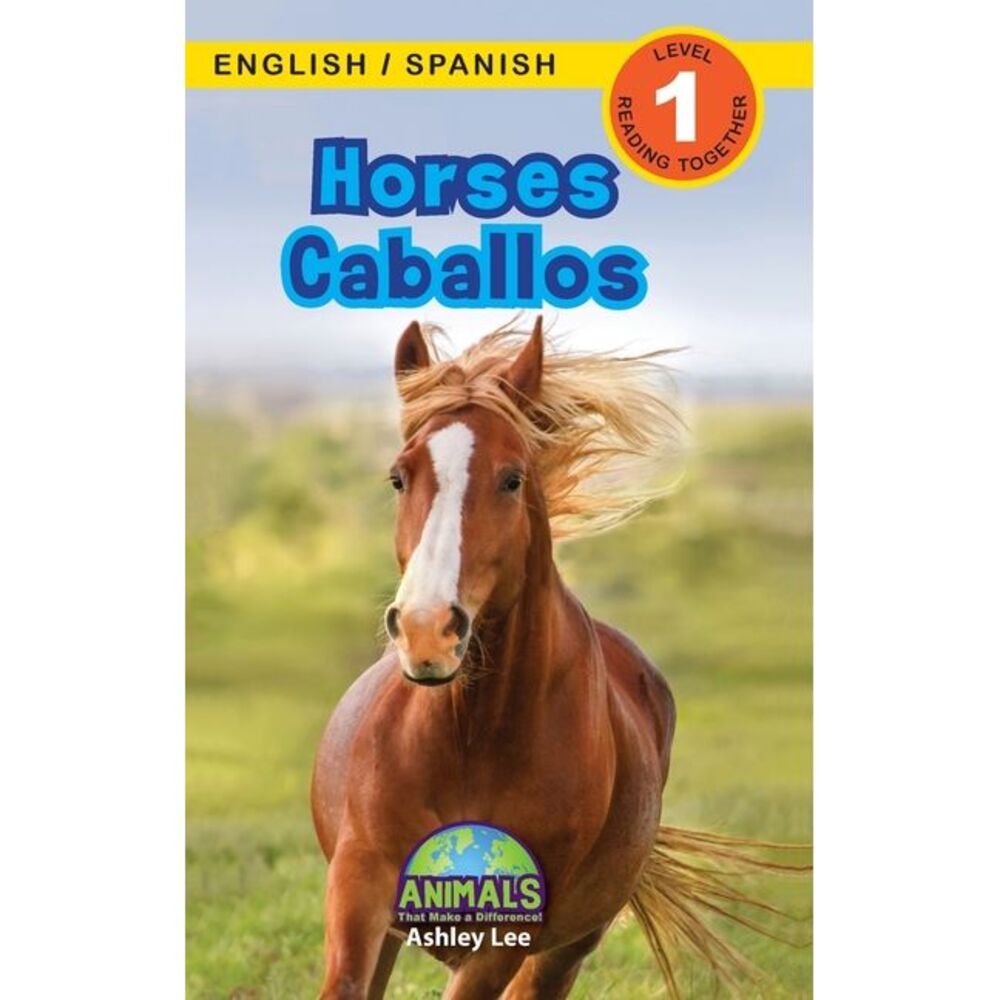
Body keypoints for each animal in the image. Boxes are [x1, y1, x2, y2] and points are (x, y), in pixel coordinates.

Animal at [311, 318, 800, 999]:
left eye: (513, 478)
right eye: (398, 478)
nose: (427, 631)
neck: (469, 741)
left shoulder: (505, 937)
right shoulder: (360, 890)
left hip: (565, 949)